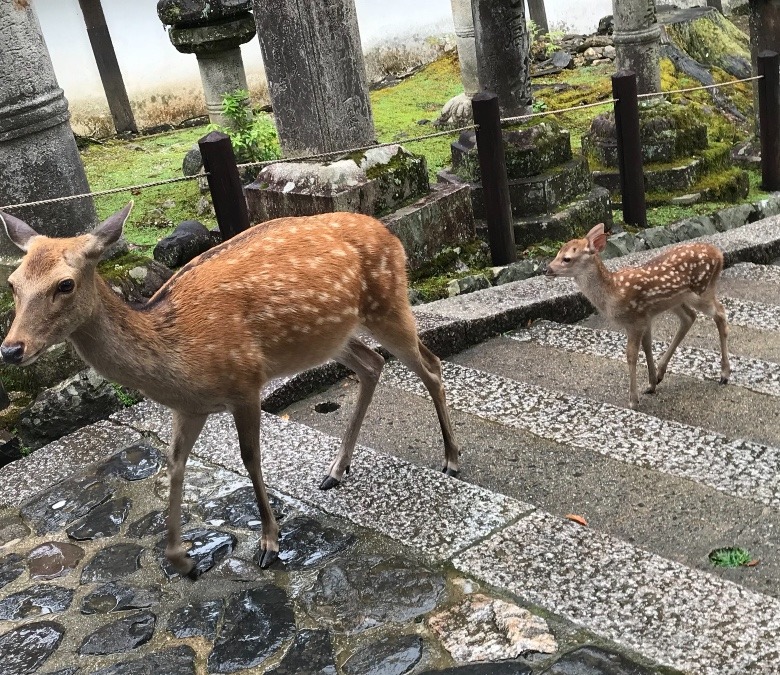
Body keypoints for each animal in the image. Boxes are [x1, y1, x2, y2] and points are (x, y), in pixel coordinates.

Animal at [0, 203, 460, 572]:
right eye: (13, 283)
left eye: (65, 284)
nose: (11, 349)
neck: (175, 355)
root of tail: (391, 233)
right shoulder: (190, 408)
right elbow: (174, 465)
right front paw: (180, 559)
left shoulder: (245, 383)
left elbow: (250, 459)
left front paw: (270, 544)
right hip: (333, 336)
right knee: (372, 365)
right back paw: (335, 470)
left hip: (389, 302)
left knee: (431, 366)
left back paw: (451, 460)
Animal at [544, 224, 732, 410]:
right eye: (557, 253)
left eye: (567, 258)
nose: (546, 269)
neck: (612, 294)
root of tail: (719, 254)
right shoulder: (645, 317)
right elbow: (647, 346)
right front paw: (651, 384)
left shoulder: (634, 321)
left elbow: (631, 355)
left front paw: (633, 401)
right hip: (676, 300)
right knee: (690, 317)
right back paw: (661, 373)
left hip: (701, 290)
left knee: (720, 313)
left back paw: (724, 374)